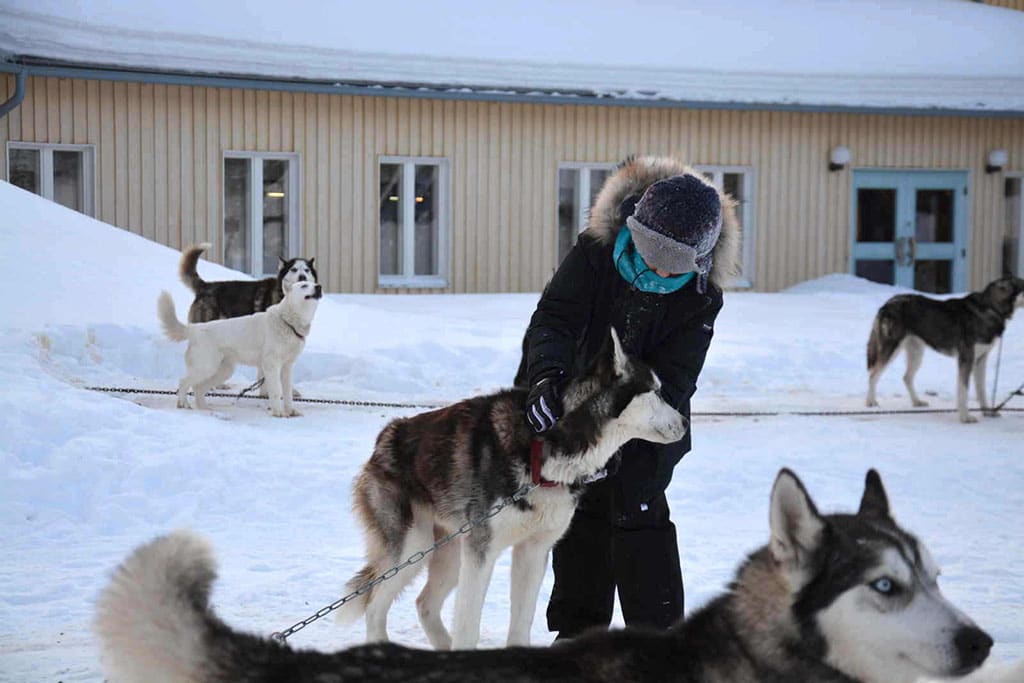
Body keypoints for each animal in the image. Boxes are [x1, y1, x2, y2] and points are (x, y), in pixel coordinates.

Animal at [157, 278, 319, 417]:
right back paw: (183, 404)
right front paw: (278, 412)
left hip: (222, 371)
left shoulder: (286, 368)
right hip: (206, 368)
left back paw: (204, 408)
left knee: (198, 388)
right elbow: (276, 391)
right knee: (183, 382)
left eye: (314, 283)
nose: (319, 287)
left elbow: (287, 393)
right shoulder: (272, 365)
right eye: (304, 285)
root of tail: (194, 329)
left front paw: (291, 411)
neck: (287, 322)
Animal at [342, 325, 688, 651]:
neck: (551, 447)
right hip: (414, 547)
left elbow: (521, 620)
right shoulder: (481, 553)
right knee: (374, 606)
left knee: (424, 604)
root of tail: (386, 436)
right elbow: (468, 625)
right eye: (656, 392)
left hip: (450, 552)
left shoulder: (533, 551)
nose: (685, 423)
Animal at [868, 278, 1024, 421]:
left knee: (906, 377)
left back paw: (916, 402)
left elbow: (981, 390)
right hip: (891, 349)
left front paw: (987, 411)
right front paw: (965, 417)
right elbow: (963, 391)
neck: (991, 308)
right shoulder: (966, 359)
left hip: (916, 354)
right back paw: (870, 402)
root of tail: (887, 304)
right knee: (873, 375)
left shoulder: (980, 360)